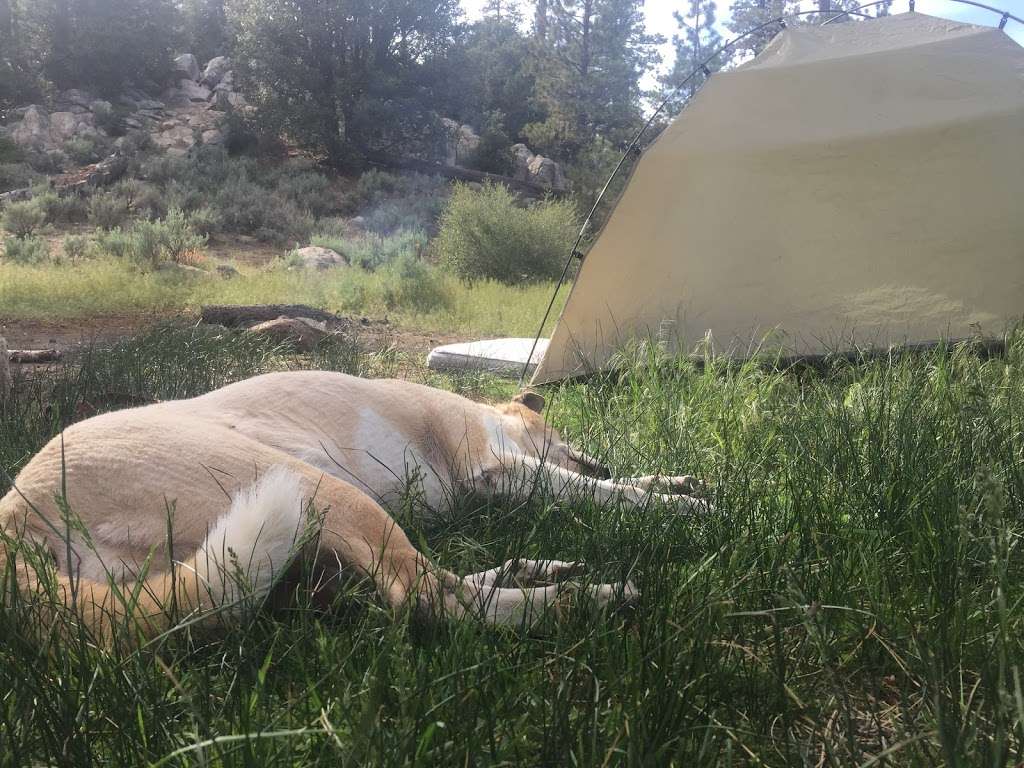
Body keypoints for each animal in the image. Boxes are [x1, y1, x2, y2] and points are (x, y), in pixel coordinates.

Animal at [0, 372, 708, 643]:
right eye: (557, 433)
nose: (598, 460)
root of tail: (16, 514)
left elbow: (622, 485)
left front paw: (678, 483)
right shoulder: (496, 468)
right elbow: (602, 493)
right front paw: (677, 507)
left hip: (312, 554)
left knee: (431, 583)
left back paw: (536, 571)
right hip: (319, 491)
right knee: (433, 599)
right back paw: (588, 598)